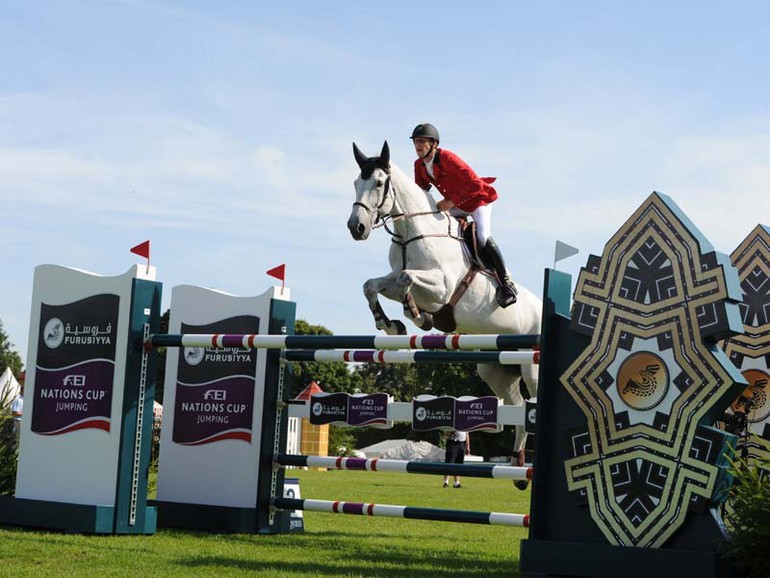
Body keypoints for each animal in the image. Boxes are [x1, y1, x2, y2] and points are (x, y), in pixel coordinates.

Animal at [346, 142, 540, 484]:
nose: (356, 228)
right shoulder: (392, 280)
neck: (412, 232)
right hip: (495, 370)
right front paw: (390, 324)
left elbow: (406, 279)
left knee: (533, 402)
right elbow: (372, 285)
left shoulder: (441, 288)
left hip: (531, 365)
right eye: (357, 182)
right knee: (517, 406)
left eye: (379, 183)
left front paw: (417, 316)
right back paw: (517, 467)